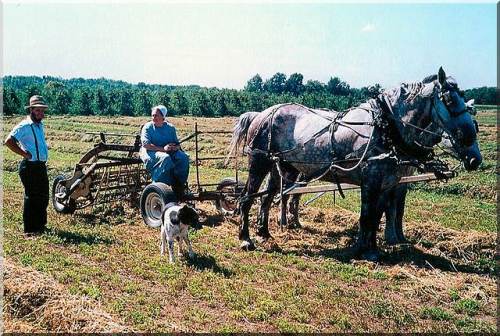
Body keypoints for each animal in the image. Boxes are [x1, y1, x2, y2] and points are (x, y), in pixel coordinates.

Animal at [230, 67, 480, 260]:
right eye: (449, 100)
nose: (475, 158)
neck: (385, 127)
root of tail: (260, 114)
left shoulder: (389, 182)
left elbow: (378, 215)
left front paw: (373, 247)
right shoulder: (371, 179)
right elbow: (367, 215)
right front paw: (367, 250)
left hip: (282, 167)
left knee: (267, 197)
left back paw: (264, 232)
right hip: (259, 162)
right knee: (247, 197)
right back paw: (246, 239)